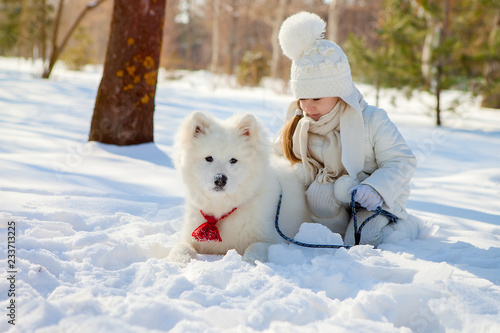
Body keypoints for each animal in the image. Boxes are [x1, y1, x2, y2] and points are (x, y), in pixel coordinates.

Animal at [168, 113, 308, 264]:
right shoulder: (191, 237)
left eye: (233, 160)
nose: (220, 179)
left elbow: (255, 247)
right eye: (209, 158)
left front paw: (250, 262)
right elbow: (181, 246)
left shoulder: (273, 240)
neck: (222, 209)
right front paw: (178, 260)